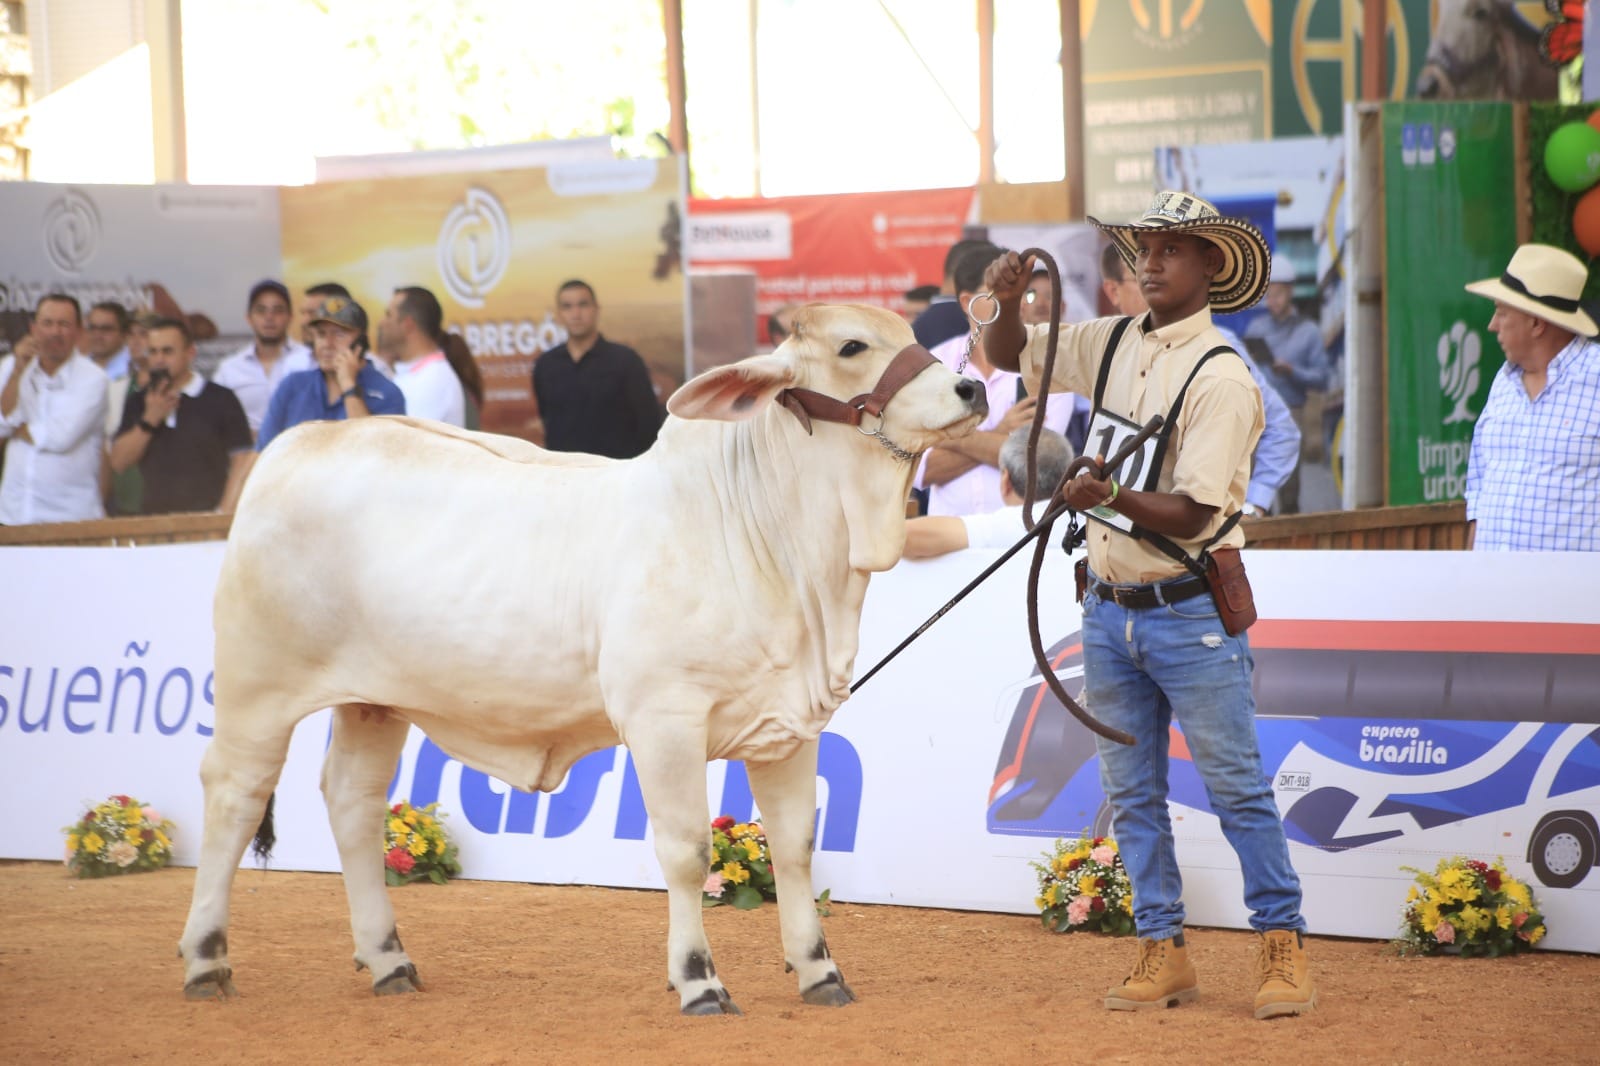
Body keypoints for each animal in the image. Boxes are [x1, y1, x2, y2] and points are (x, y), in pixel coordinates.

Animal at [176, 304, 988, 1015]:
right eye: (853, 346)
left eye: (909, 332)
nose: (972, 386)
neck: (777, 542)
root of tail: (299, 444)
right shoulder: (664, 721)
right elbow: (687, 851)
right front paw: (699, 980)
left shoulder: (788, 726)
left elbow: (794, 848)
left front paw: (820, 971)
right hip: (258, 686)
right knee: (234, 796)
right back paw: (206, 959)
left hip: (373, 702)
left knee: (352, 802)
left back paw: (388, 960)